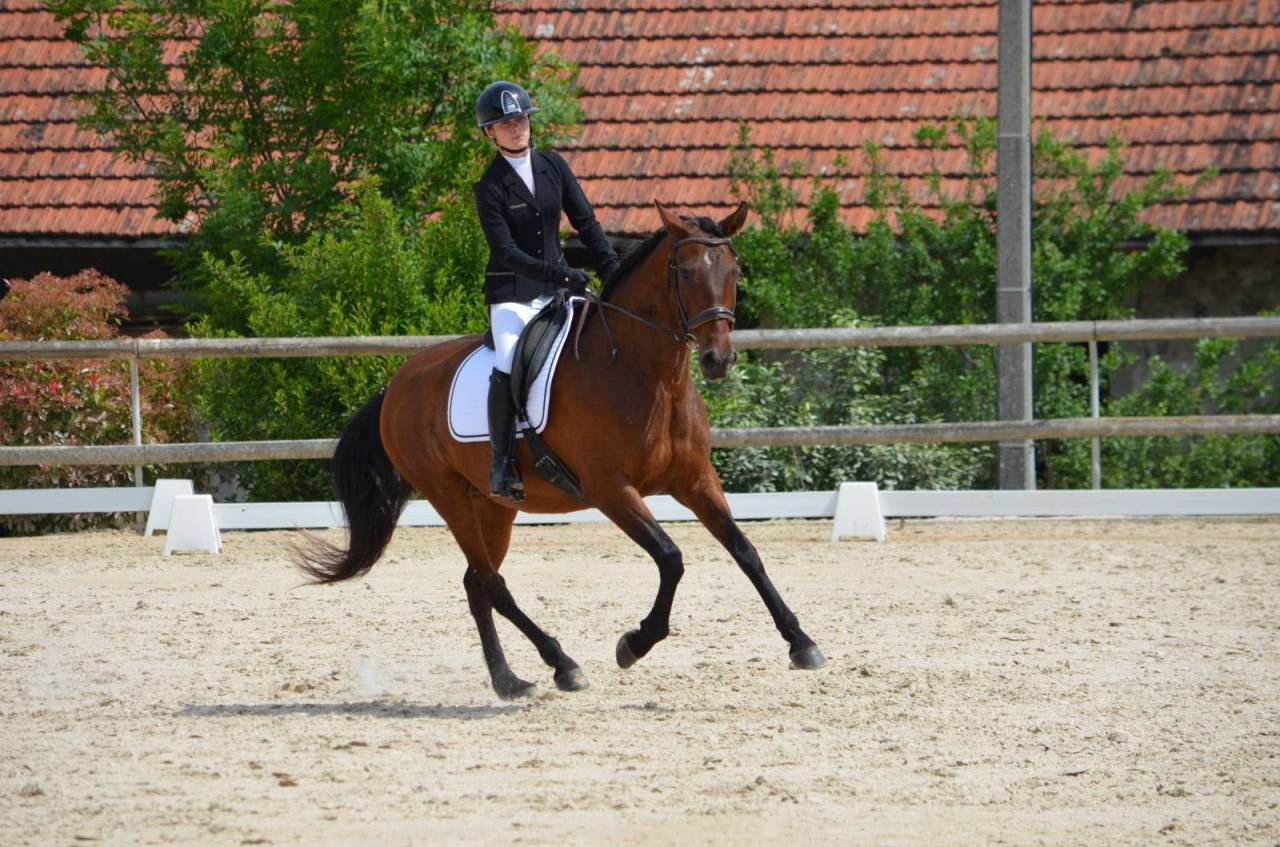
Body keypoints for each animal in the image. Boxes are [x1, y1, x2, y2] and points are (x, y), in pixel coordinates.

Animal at [298, 201, 827, 700]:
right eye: (685, 272)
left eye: (734, 272)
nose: (719, 360)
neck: (649, 375)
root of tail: (396, 384)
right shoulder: (611, 490)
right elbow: (671, 558)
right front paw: (633, 644)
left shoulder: (696, 481)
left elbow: (746, 551)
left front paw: (802, 643)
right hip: (447, 496)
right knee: (492, 584)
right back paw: (561, 665)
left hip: (493, 506)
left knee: (476, 584)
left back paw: (509, 681)